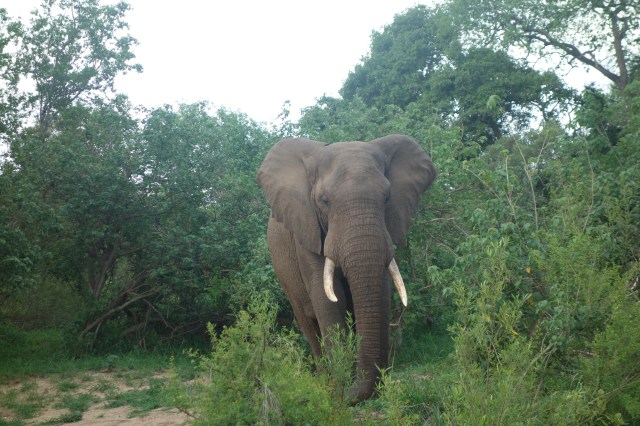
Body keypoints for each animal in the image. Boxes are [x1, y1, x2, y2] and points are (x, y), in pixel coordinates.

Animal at [256, 134, 436, 402]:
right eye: (324, 201)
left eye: (387, 197)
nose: (351, 394)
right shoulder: (306, 232)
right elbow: (328, 300)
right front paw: (337, 389)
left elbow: (381, 289)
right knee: (308, 324)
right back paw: (324, 383)